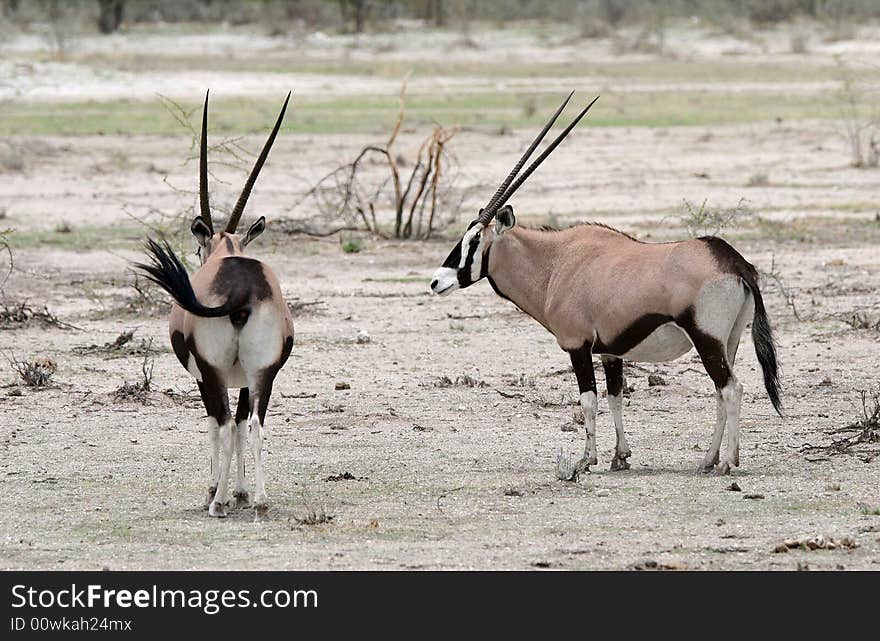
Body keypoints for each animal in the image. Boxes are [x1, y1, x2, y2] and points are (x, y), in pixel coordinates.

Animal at [136, 92, 296, 516]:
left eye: (198, 247)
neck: (228, 253)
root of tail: (241, 287)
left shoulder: (204, 376)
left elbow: (215, 426)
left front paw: (216, 490)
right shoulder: (244, 380)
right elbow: (241, 426)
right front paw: (242, 492)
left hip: (214, 371)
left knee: (221, 424)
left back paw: (218, 502)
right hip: (262, 373)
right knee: (254, 425)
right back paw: (259, 502)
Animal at [430, 92, 780, 478]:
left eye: (475, 240)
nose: (437, 281)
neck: (555, 263)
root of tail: (733, 261)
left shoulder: (577, 345)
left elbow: (588, 400)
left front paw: (586, 460)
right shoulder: (612, 351)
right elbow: (615, 398)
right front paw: (620, 457)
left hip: (707, 339)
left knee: (731, 388)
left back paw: (728, 462)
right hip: (728, 341)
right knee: (721, 390)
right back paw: (708, 459)